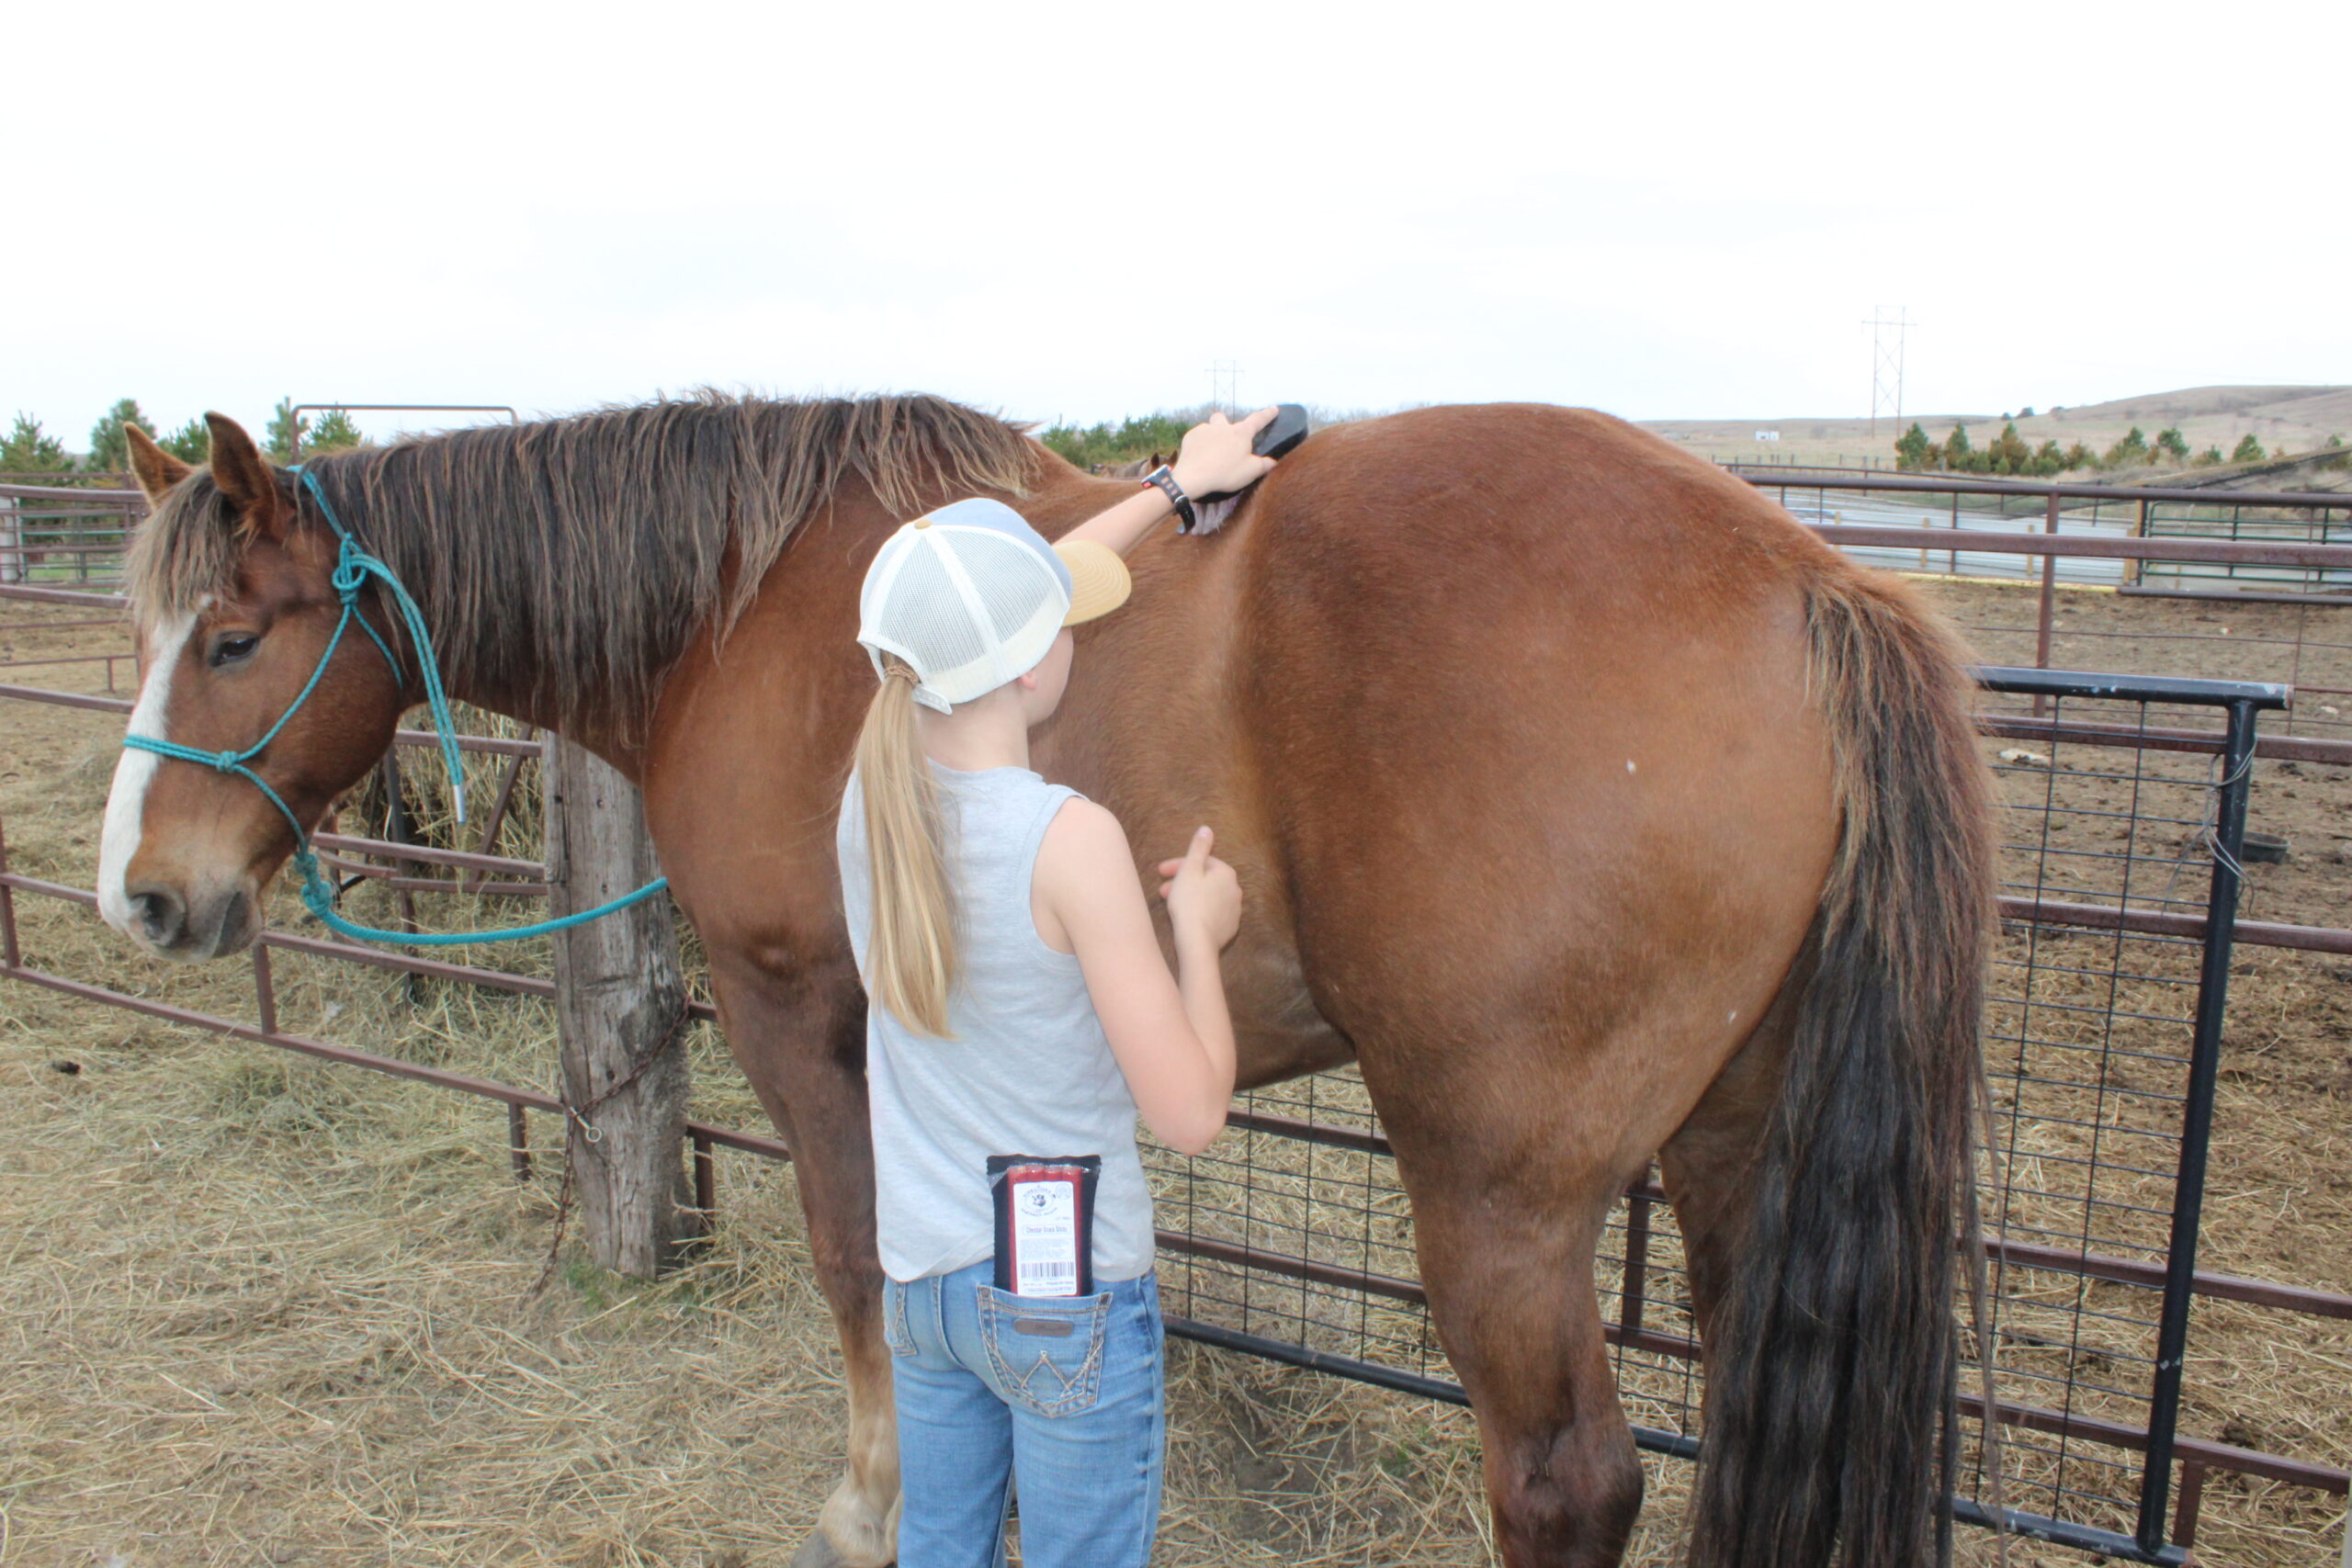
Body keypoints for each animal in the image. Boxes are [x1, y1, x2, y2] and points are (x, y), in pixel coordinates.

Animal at [101, 394, 1993, 1568]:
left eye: (237, 637)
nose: (147, 893)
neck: (747, 609)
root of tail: (1810, 581)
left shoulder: (801, 1010)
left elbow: (857, 1256)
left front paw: (873, 1504)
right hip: (1733, 1145)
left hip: (1499, 1191)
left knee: (1565, 1481)